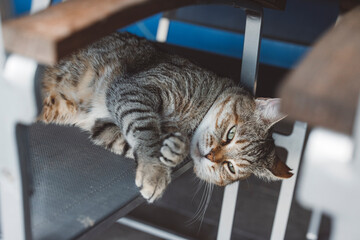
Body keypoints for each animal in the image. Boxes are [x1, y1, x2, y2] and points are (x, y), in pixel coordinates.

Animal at [39, 31, 292, 202]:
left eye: (230, 167)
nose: (211, 155)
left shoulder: (103, 125)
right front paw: (155, 171)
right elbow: (145, 129)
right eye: (231, 134)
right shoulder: (134, 89)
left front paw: (173, 152)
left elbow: (133, 140)